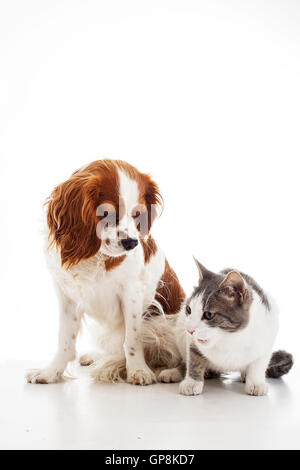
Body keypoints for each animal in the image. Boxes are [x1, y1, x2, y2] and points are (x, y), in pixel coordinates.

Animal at [26, 161, 185, 386]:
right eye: (107, 213)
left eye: (138, 214)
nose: (131, 242)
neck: (96, 255)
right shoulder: (68, 298)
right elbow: (65, 341)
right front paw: (51, 372)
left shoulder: (132, 294)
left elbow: (132, 340)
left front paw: (138, 370)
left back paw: (171, 373)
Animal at [158, 258, 294, 394]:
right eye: (189, 309)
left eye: (209, 314)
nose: (189, 330)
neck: (228, 338)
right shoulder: (191, 340)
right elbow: (193, 357)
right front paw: (192, 382)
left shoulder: (268, 330)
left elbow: (259, 362)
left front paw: (256, 383)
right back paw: (175, 372)